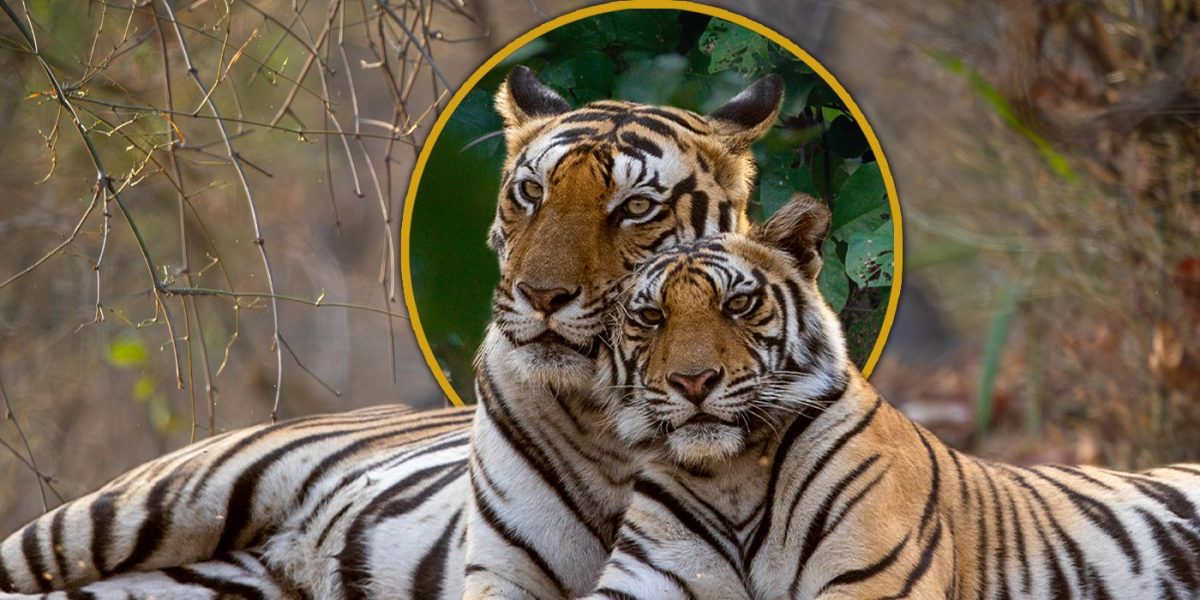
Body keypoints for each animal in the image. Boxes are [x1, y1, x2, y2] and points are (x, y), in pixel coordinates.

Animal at [0, 66, 785, 599]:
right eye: (531, 192)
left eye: (636, 207)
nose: (540, 296)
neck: (610, 417)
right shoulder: (509, 571)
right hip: (130, 510)